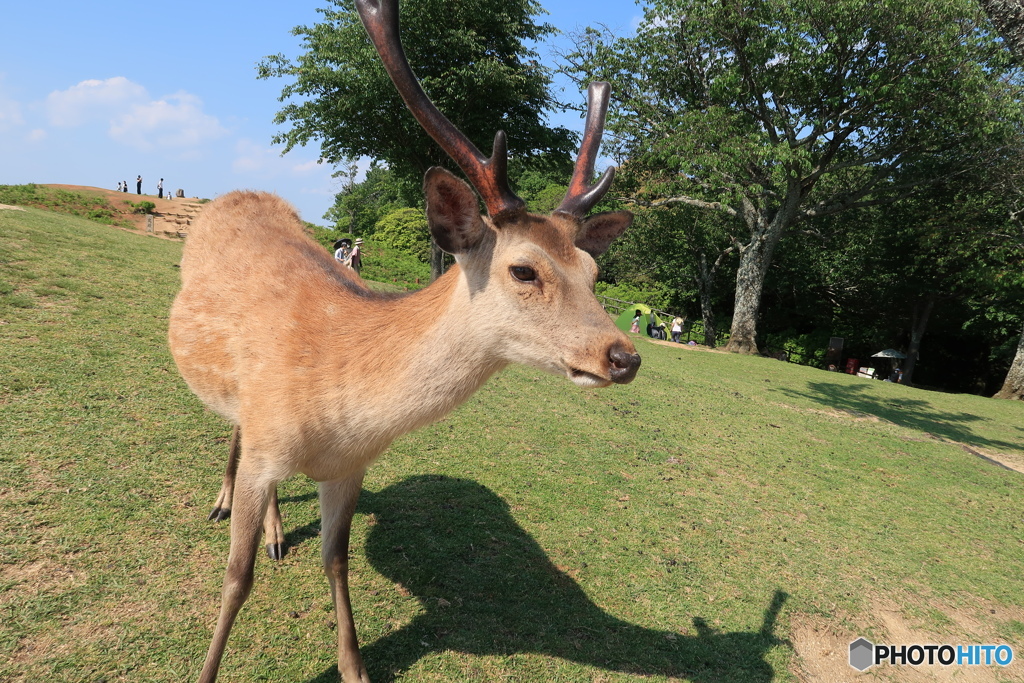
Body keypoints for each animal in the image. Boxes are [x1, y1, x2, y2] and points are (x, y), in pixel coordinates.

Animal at [169, 0, 638, 679]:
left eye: (595, 271)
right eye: (524, 270)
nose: (623, 356)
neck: (339, 416)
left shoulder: (350, 468)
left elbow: (336, 559)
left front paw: (354, 665)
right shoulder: (266, 444)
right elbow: (237, 576)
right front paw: (208, 666)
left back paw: (278, 531)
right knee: (233, 432)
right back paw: (227, 502)